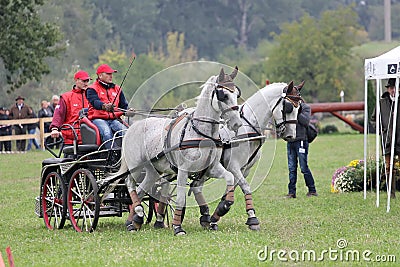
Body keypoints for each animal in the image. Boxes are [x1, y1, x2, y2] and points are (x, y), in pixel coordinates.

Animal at [108, 67, 242, 237]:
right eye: (223, 95)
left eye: (236, 94)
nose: (237, 123)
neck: (201, 133)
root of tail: (132, 127)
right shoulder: (183, 170)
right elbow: (180, 199)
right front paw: (178, 227)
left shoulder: (211, 168)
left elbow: (230, 177)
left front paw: (224, 206)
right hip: (136, 167)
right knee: (130, 184)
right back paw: (137, 212)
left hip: (152, 171)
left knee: (140, 190)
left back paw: (134, 221)